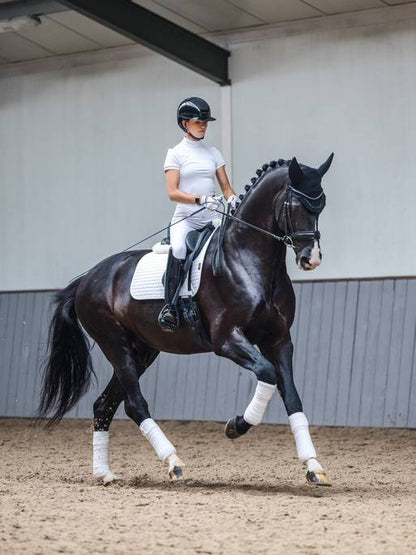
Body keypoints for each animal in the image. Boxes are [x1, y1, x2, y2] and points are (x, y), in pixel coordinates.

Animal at [38, 154, 332, 484]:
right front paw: (235, 426)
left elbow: (291, 396)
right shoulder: (227, 340)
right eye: (295, 205)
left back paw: (105, 474)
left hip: (142, 351)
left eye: (321, 205)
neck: (247, 260)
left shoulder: (279, 340)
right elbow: (267, 374)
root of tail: (87, 279)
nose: (311, 259)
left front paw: (313, 466)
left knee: (105, 405)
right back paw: (173, 462)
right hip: (116, 346)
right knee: (134, 404)